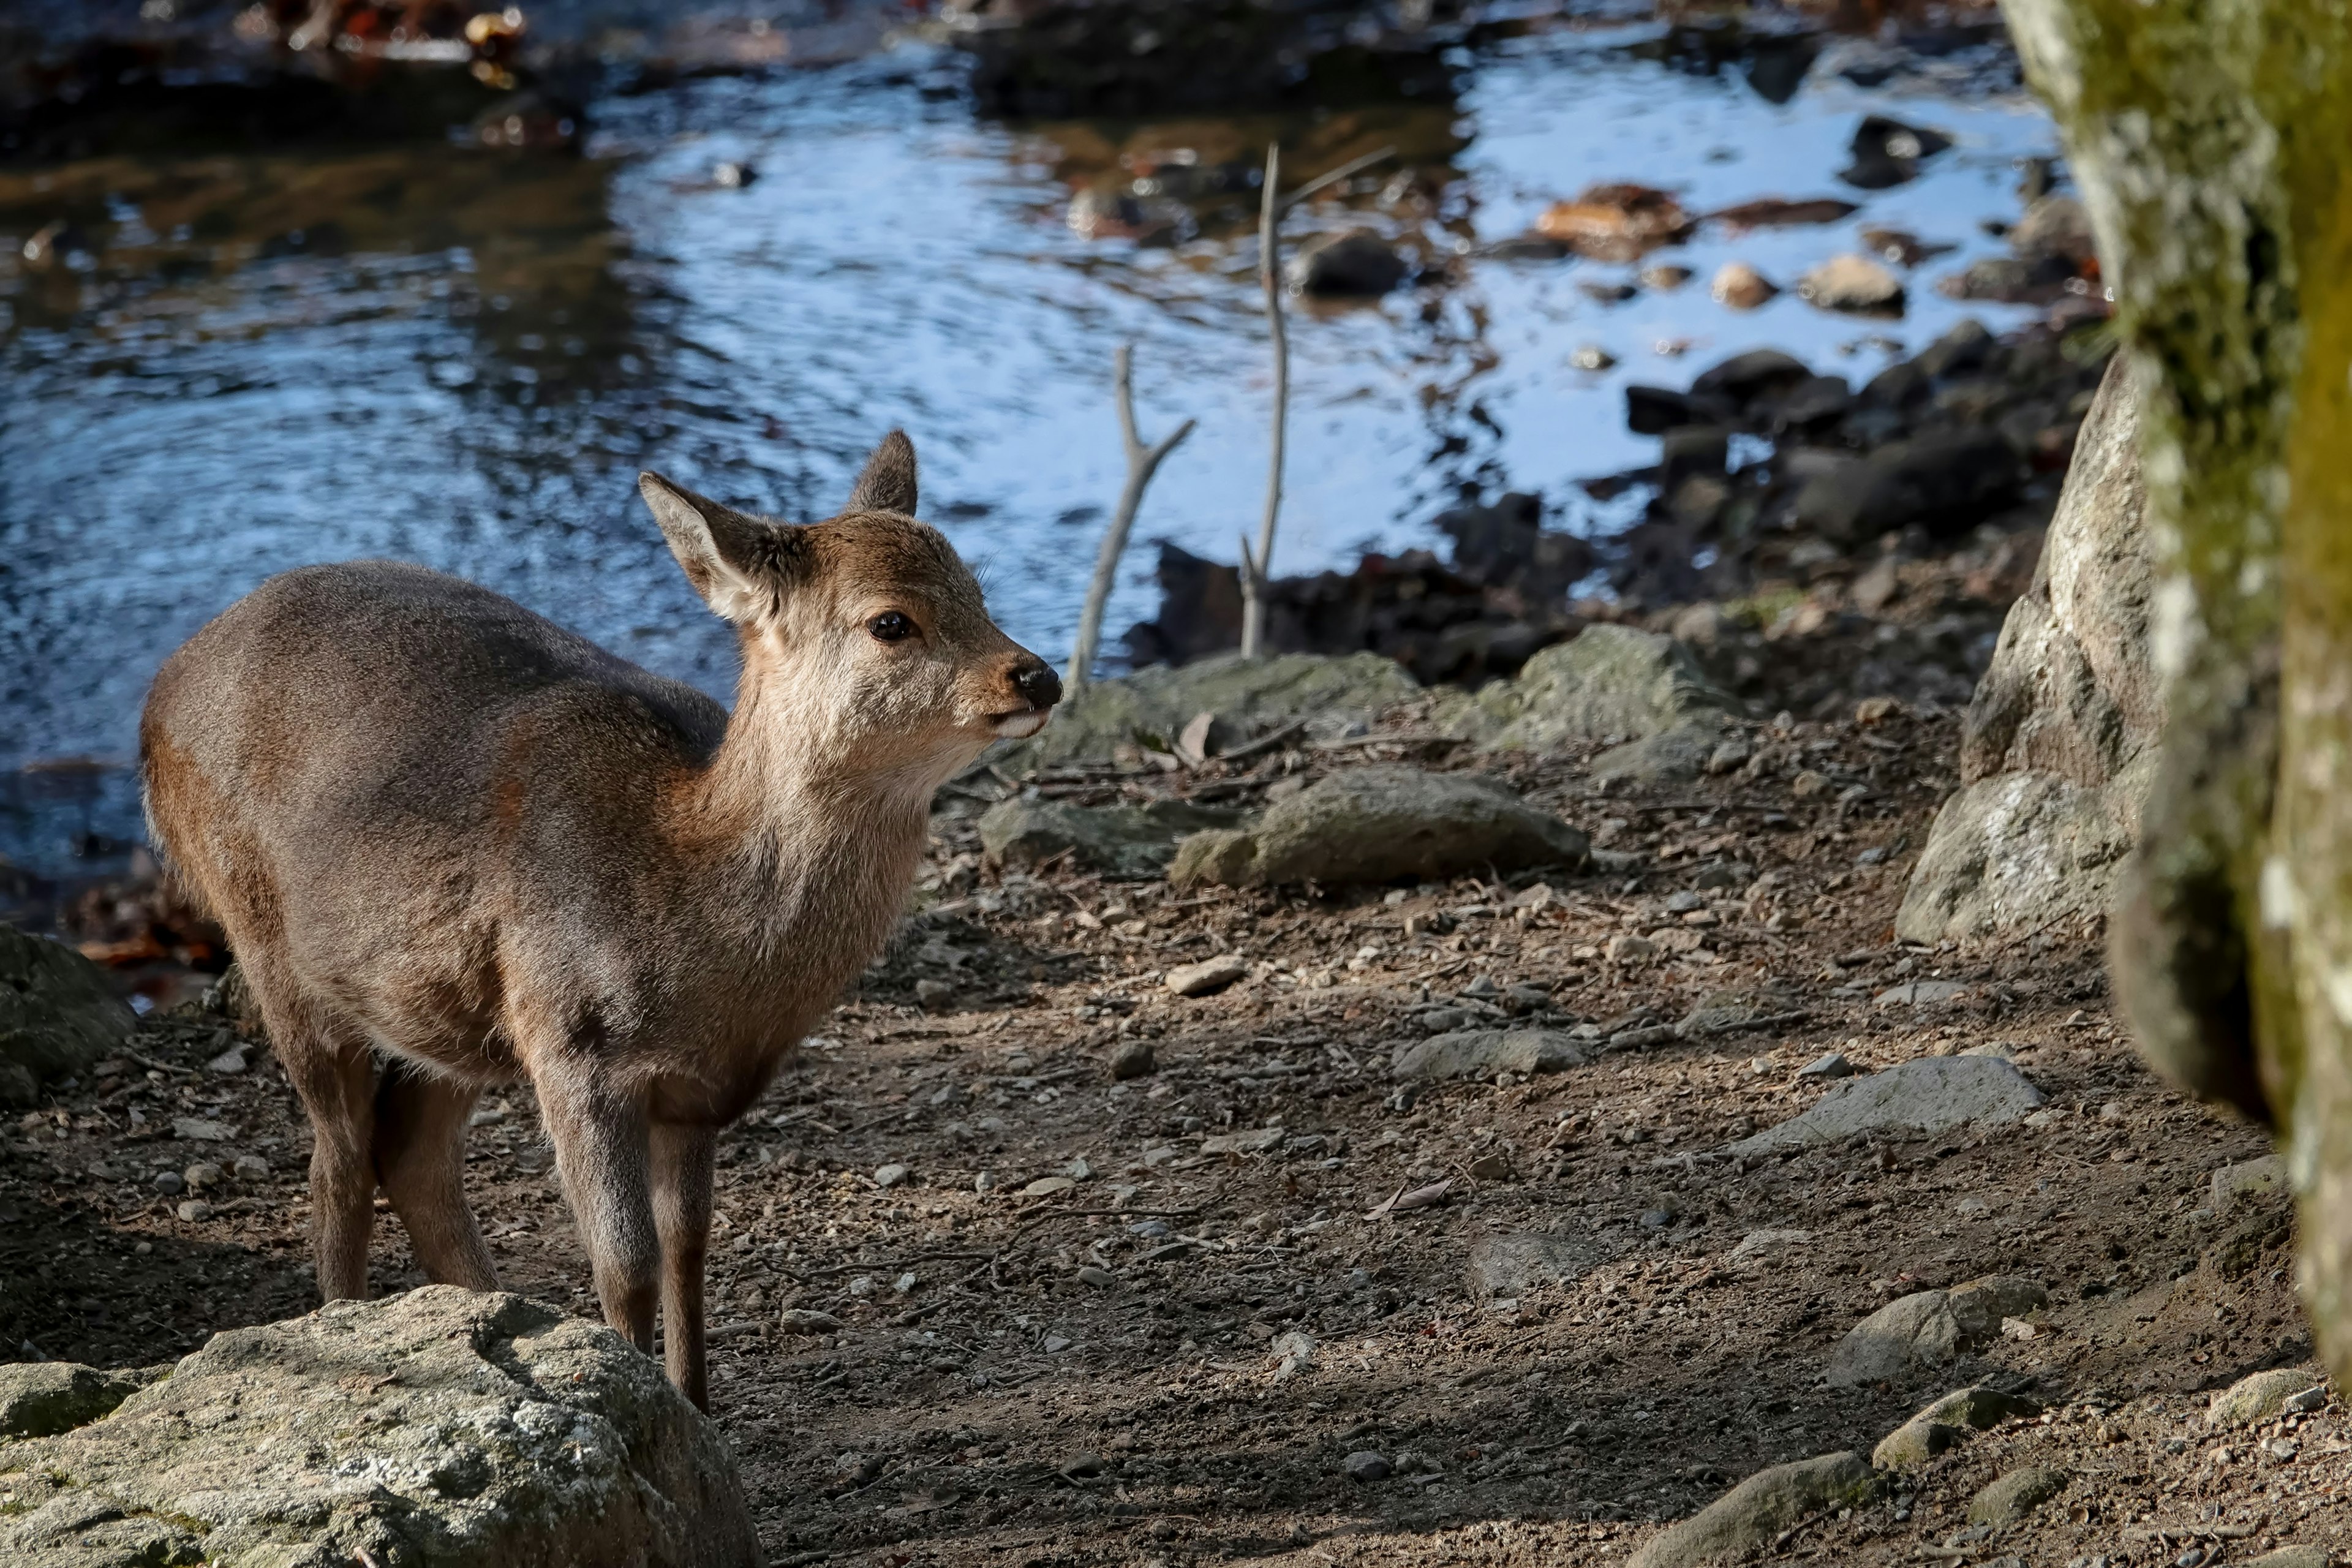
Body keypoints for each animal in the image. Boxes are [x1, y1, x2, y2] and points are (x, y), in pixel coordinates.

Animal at [137, 432, 1058, 1410]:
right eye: (890, 622)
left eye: (977, 590)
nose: (1038, 674)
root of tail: (159, 695)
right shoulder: (575, 1046)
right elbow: (627, 1264)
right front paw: (634, 1394)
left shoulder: (688, 1090)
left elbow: (689, 1247)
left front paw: (694, 1409)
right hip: (271, 944)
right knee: (338, 1161)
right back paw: (351, 1327)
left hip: (452, 1009)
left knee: (410, 1154)